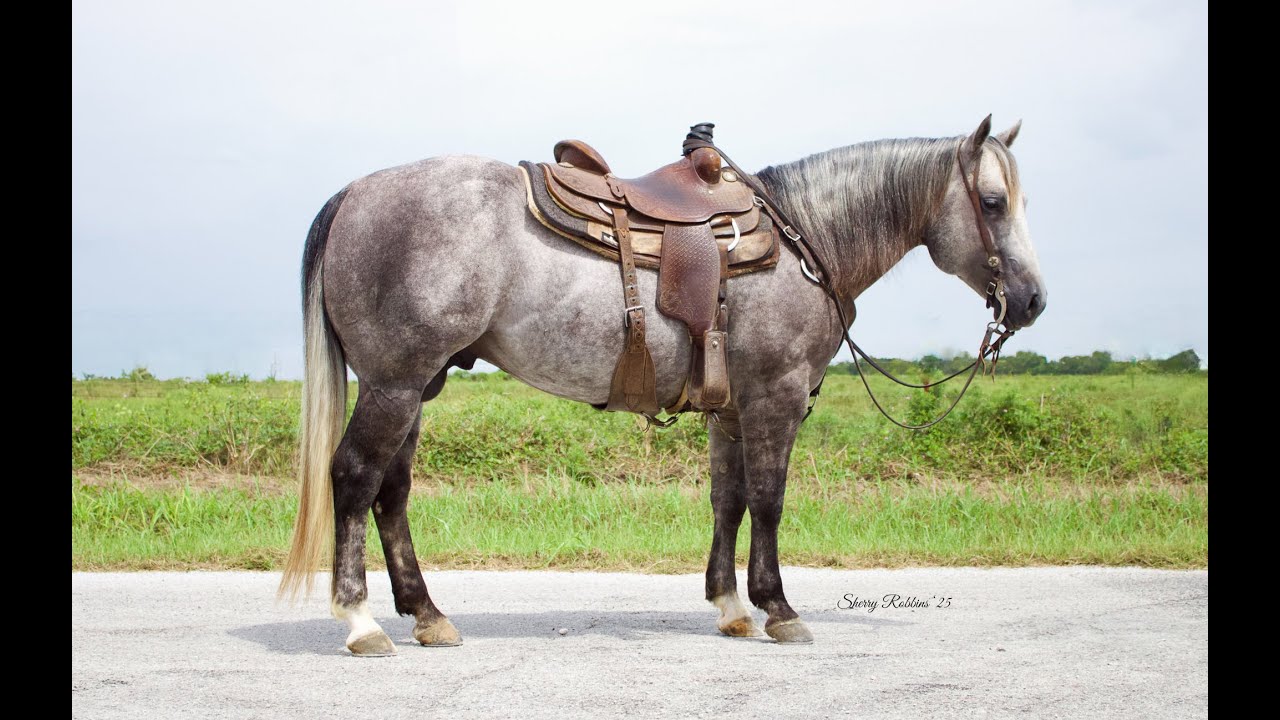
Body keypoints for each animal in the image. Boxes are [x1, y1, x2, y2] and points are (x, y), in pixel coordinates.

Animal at [278, 116, 1047, 655]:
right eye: (991, 202)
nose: (1034, 300)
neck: (803, 240)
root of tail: (356, 192)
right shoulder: (776, 399)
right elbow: (769, 502)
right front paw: (779, 609)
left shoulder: (728, 412)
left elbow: (728, 501)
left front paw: (731, 608)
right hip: (393, 385)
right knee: (354, 479)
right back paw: (360, 622)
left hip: (416, 387)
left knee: (392, 493)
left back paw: (428, 616)